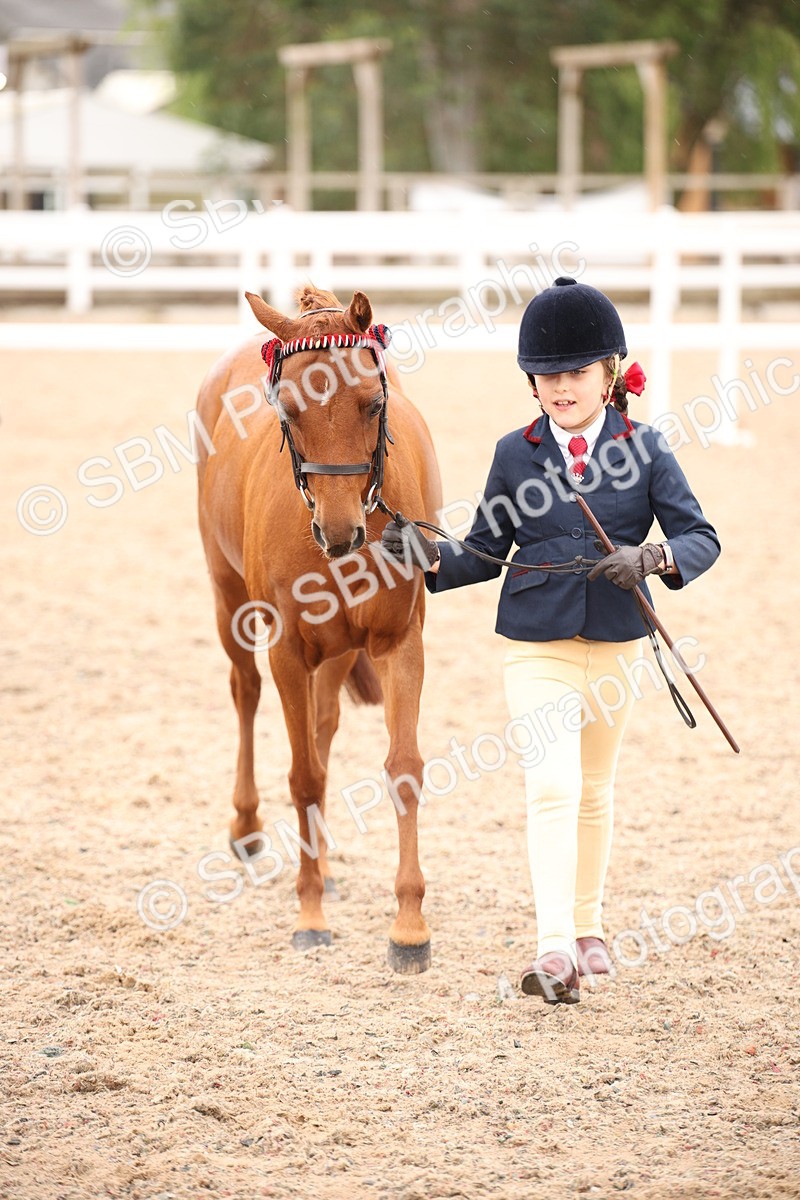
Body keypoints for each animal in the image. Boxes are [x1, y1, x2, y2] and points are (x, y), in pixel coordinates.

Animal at [195, 285, 442, 973]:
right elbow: (302, 776)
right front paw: (309, 918)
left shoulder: (398, 643)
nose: (339, 533)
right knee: (246, 693)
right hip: (228, 599)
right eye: (289, 408)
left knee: (324, 724)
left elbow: (403, 767)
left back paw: (325, 864)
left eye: (373, 403)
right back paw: (248, 828)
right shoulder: (286, 648)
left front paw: (409, 926)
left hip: (335, 651)